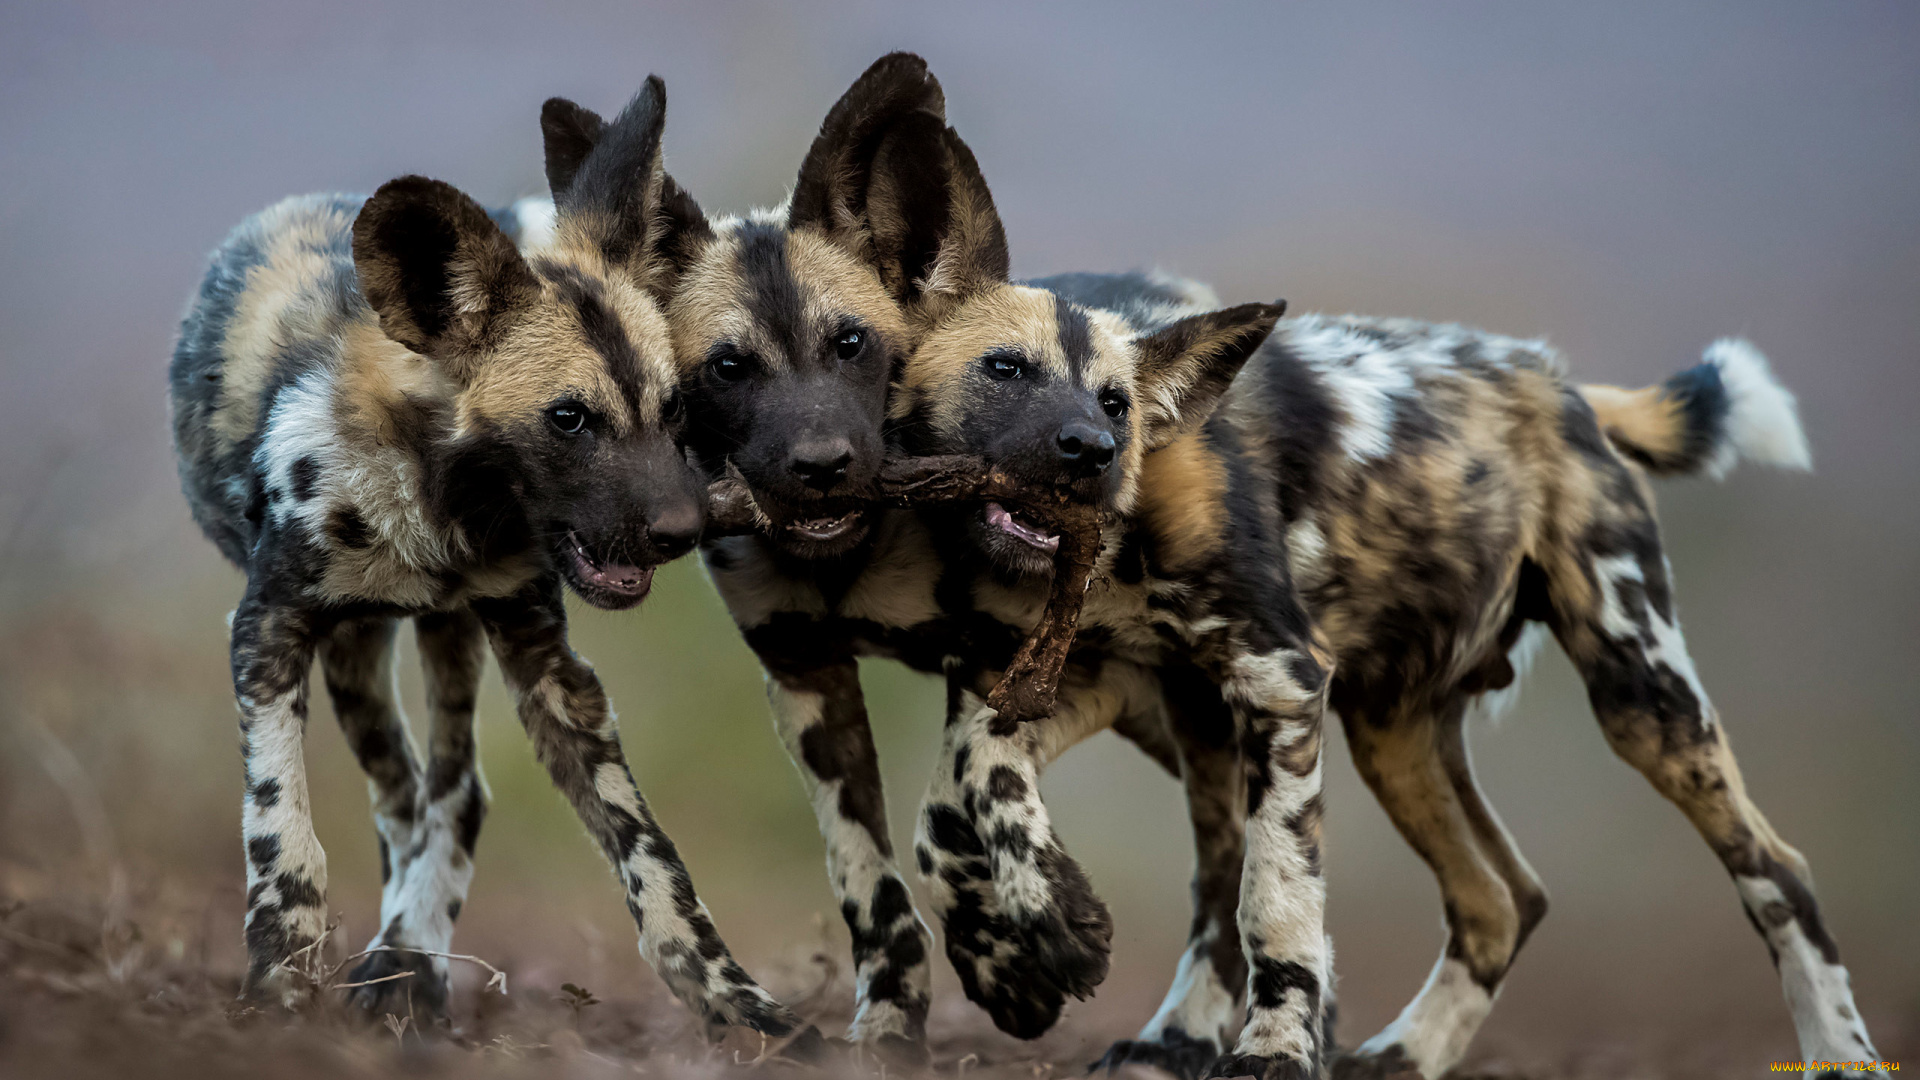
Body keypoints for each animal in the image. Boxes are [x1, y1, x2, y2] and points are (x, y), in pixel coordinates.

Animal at [167, 79, 817, 1037]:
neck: (442, 517)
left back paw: (411, 957)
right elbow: (282, 824)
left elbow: (651, 855)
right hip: (360, 650)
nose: (683, 530)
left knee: (453, 794)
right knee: (403, 796)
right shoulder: (267, 631)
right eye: (569, 419)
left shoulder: (546, 661)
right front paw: (281, 974)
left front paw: (739, 1004)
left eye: (674, 409)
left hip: (438, 637)